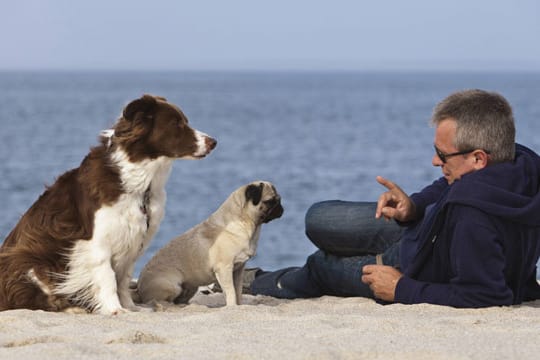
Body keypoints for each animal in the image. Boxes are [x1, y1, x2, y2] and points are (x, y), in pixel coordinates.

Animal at [0, 95, 215, 316]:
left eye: (185, 121)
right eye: (176, 124)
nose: (213, 142)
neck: (141, 183)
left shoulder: (133, 240)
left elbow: (123, 280)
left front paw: (130, 307)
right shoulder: (97, 243)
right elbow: (108, 278)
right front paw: (115, 309)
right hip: (27, 261)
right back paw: (71, 308)